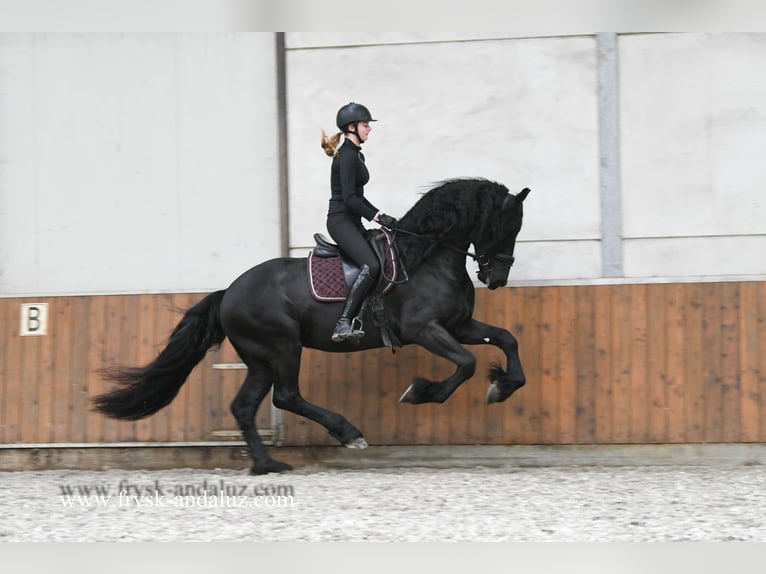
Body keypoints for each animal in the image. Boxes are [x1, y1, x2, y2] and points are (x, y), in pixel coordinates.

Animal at [93, 178, 531, 474]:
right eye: (506, 226)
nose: (497, 279)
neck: (425, 257)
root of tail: (229, 292)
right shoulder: (425, 329)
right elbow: (466, 364)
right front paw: (422, 391)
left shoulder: (459, 325)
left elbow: (506, 339)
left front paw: (503, 386)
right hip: (283, 347)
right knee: (287, 396)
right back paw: (348, 433)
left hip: (260, 359)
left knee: (244, 405)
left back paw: (267, 464)